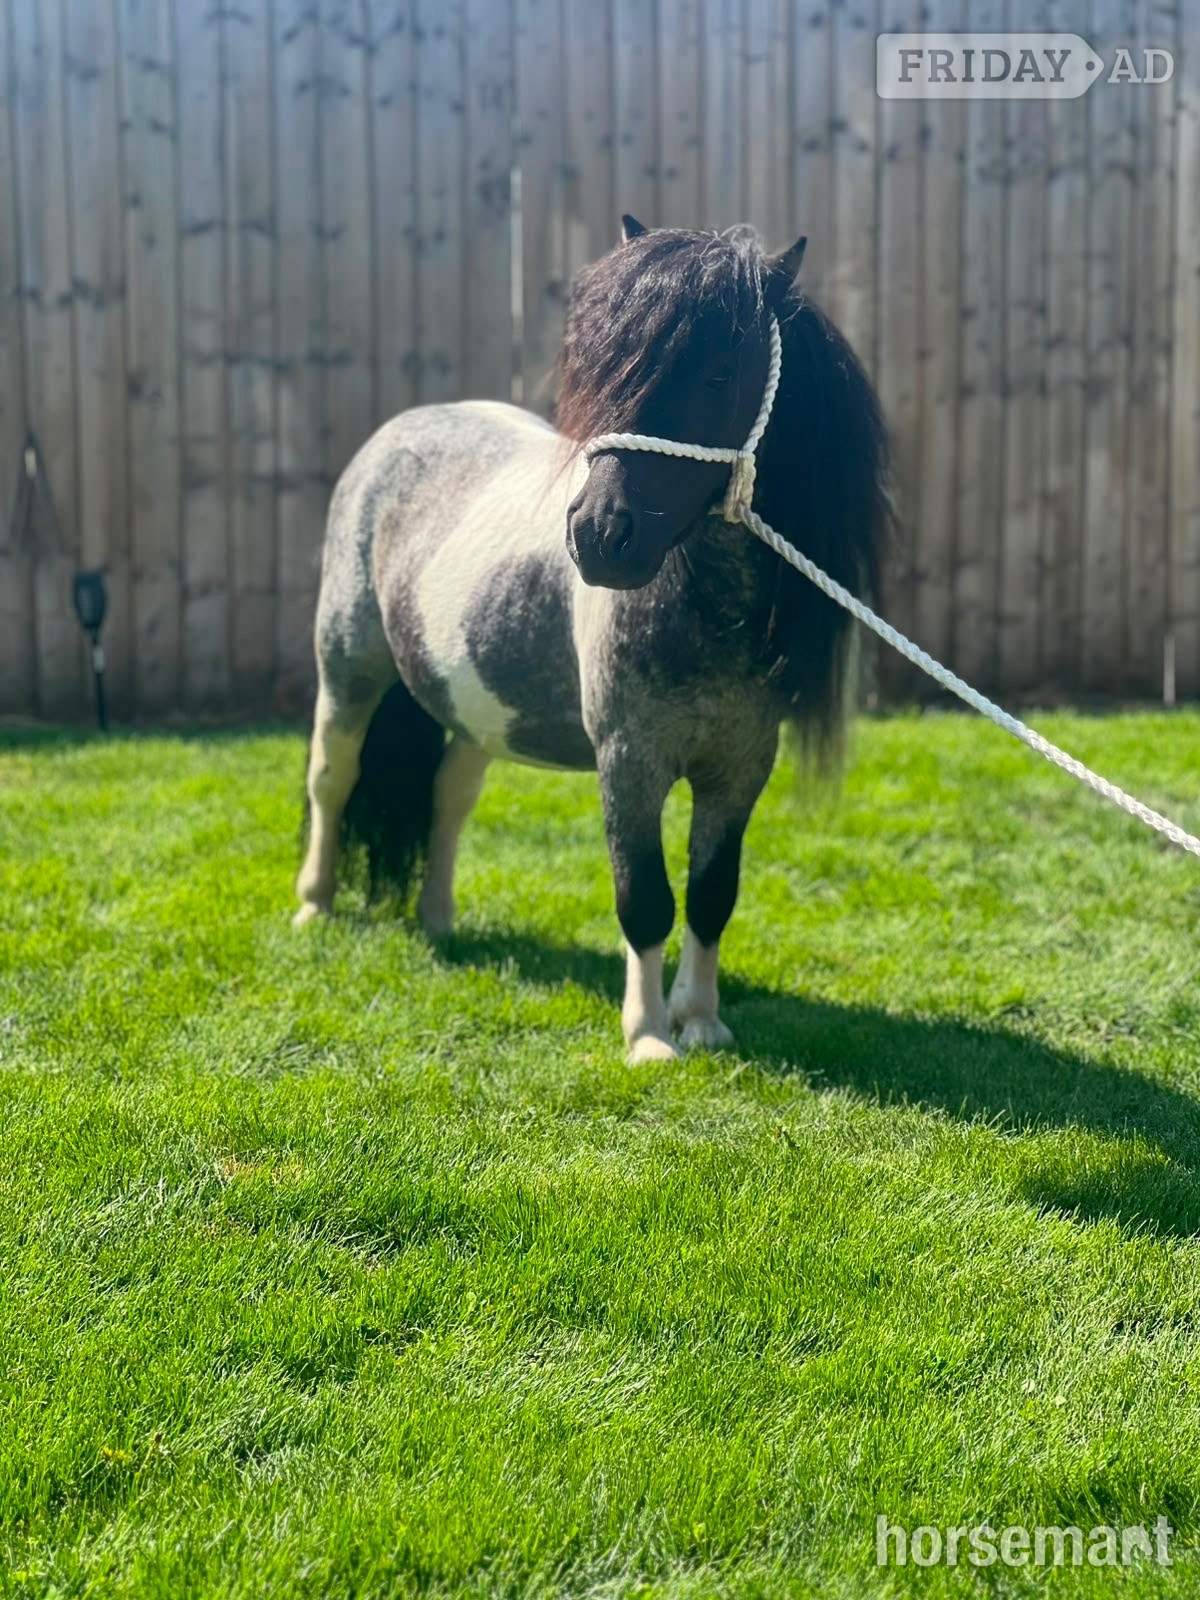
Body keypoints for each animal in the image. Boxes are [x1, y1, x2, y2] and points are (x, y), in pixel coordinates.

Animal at [294, 215, 892, 1061]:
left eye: (719, 375)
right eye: (606, 368)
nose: (599, 537)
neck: (707, 613)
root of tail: (400, 432)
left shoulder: (741, 768)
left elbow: (711, 893)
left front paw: (702, 1021)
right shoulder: (629, 762)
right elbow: (645, 896)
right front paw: (648, 1038)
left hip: (473, 707)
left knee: (448, 798)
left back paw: (437, 922)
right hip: (348, 670)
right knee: (331, 780)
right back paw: (314, 908)